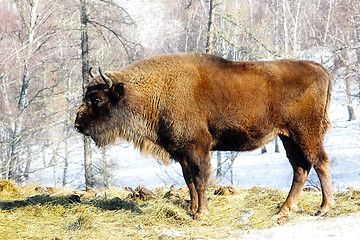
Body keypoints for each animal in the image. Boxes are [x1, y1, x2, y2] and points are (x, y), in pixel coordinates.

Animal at [75, 52, 334, 219]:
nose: (77, 125)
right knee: (300, 168)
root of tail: (320, 69)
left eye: (97, 99)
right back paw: (283, 209)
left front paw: (201, 213)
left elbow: (200, 179)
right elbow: (189, 180)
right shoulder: (182, 152)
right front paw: (192, 209)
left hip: (305, 132)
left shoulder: (197, 147)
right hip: (288, 137)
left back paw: (324, 207)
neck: (158, 89)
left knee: (320, 162)